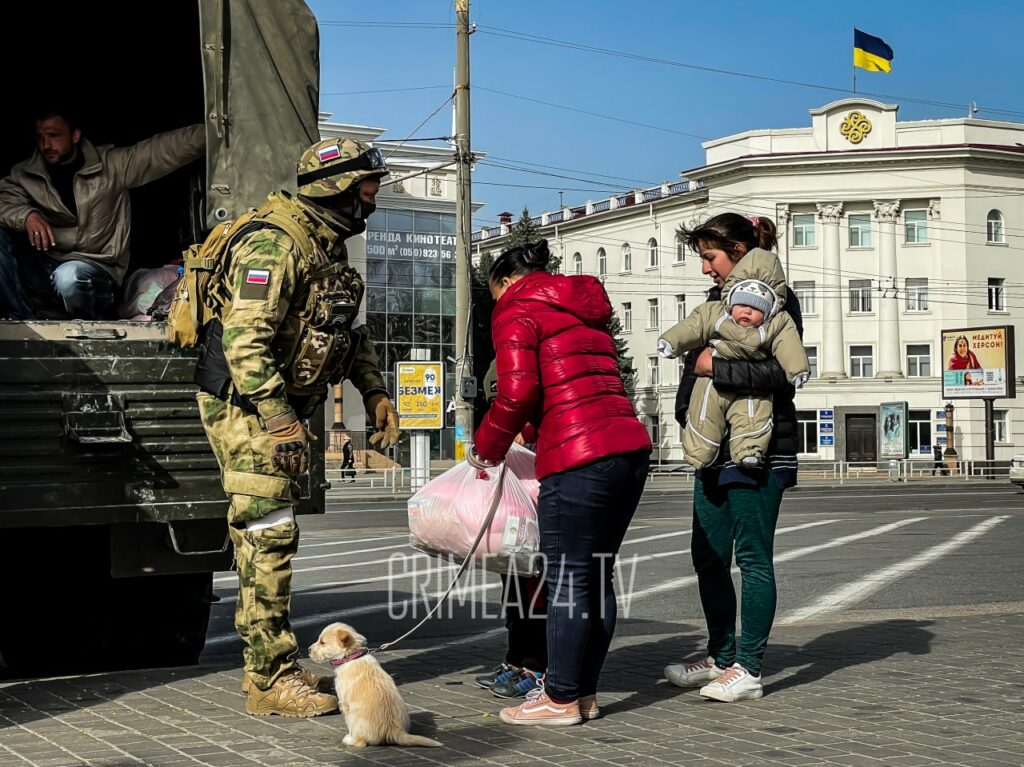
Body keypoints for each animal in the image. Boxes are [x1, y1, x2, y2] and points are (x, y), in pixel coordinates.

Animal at [309, 618, 442, 745]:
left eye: (322, 642)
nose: (308, 650)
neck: (351, 656)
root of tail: (394, 729)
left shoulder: (345, 704)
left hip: (354, 717)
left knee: (360, 742)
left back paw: (349, 739)